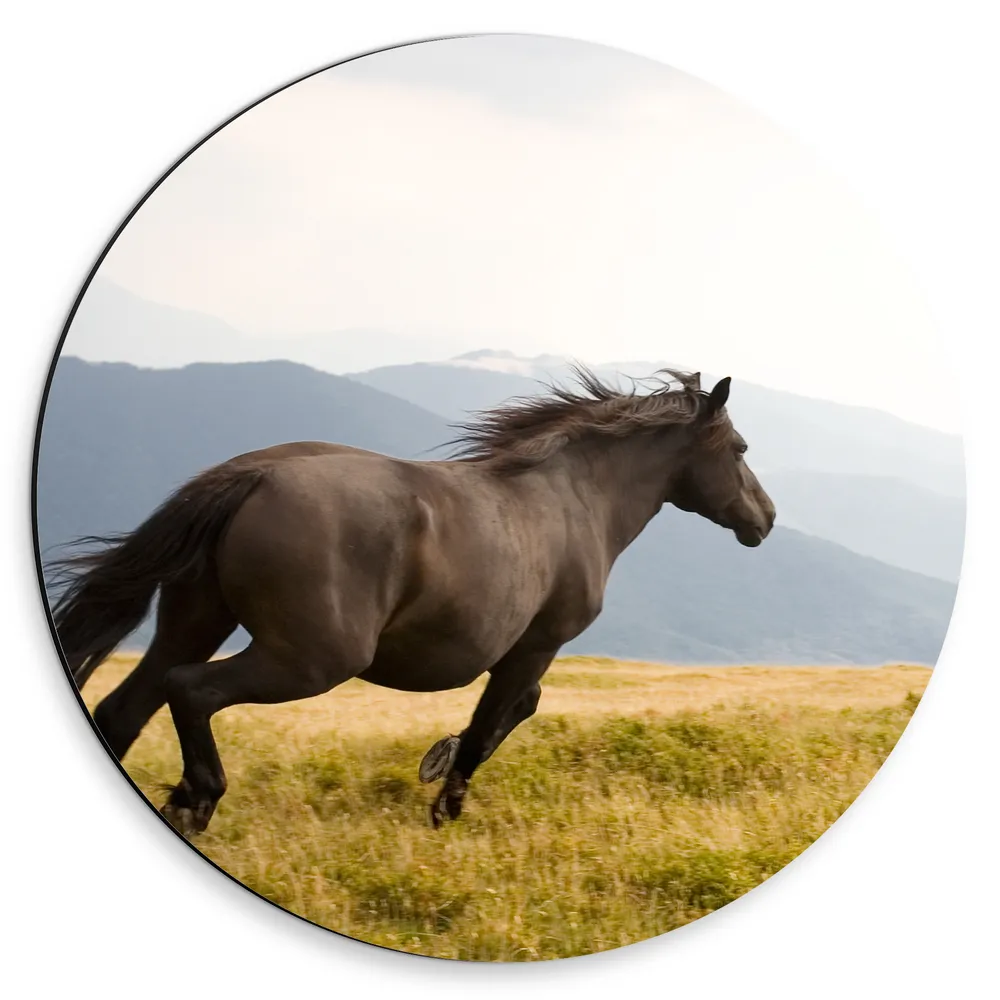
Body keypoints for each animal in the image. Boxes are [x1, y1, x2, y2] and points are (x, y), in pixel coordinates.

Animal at [46, 367, 775, 835]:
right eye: (739, 447)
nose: (764, 519)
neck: (575, 498)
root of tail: (252, 476)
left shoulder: (524, 651)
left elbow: (513, 712)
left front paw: (438, 760)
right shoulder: (537, 644)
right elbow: (493, 721)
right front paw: (444, 800)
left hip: (196, 620)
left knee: (125, 708)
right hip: (310, 659)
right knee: (189, 690)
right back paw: (196, 800)